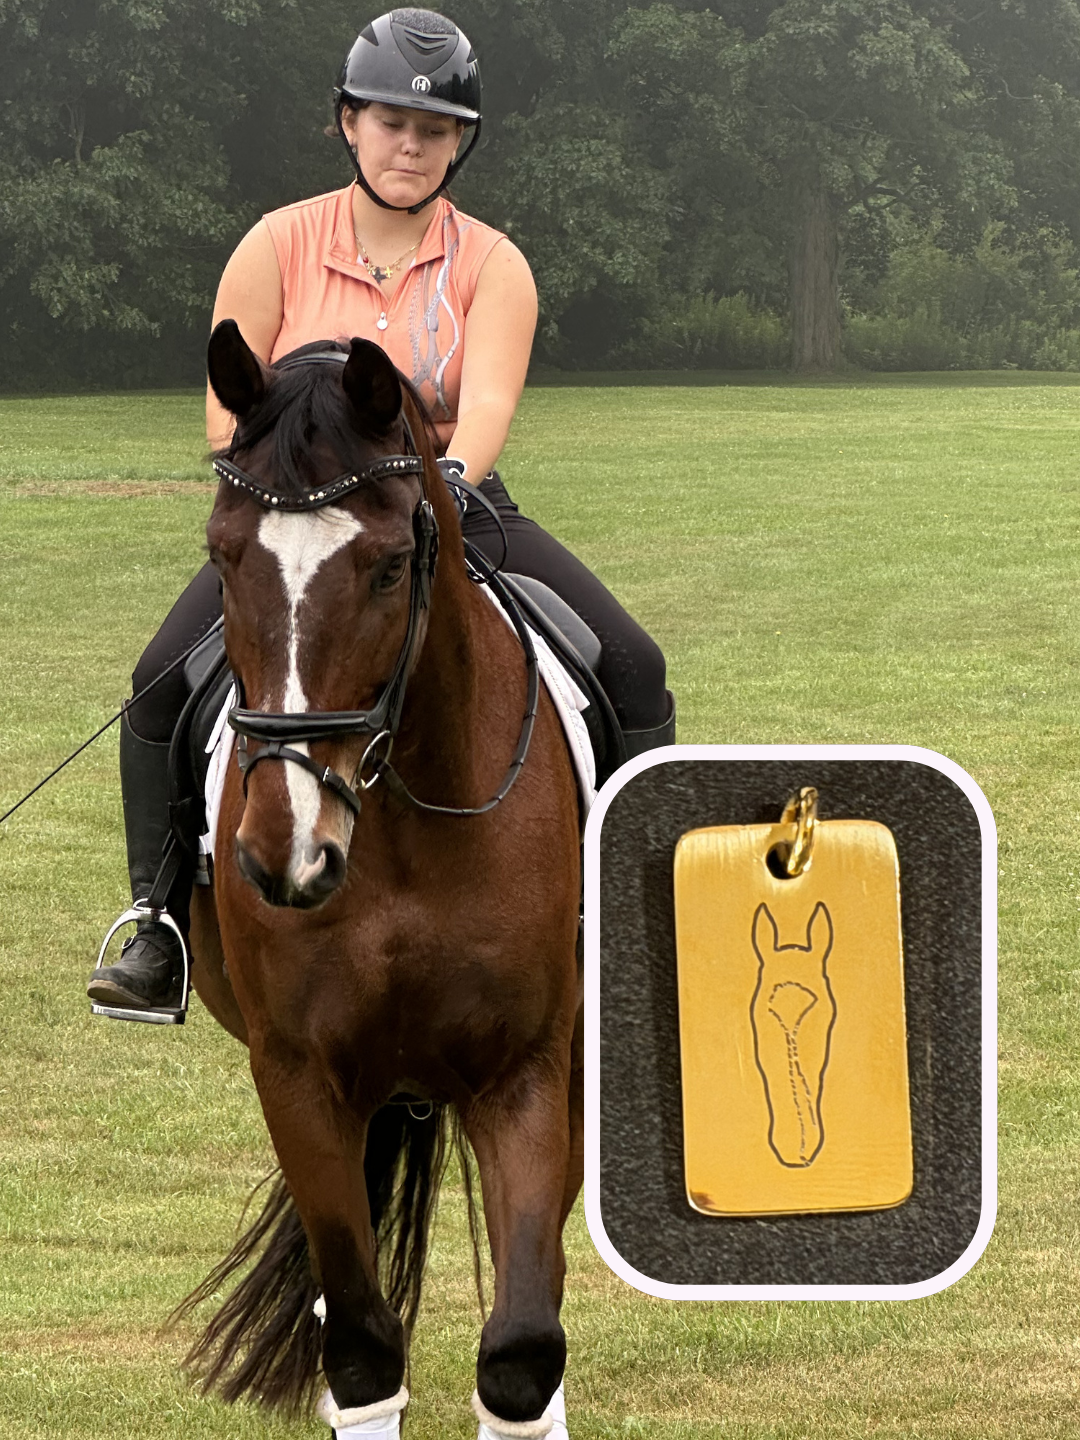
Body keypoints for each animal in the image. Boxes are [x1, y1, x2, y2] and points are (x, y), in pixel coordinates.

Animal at [174, 320, 583, 1437]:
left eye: (393, 567)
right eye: (221, 554)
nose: (286, 851)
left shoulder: (527, 1072)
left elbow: (521, 1354)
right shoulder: (300, 1081)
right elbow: (359, 1349)